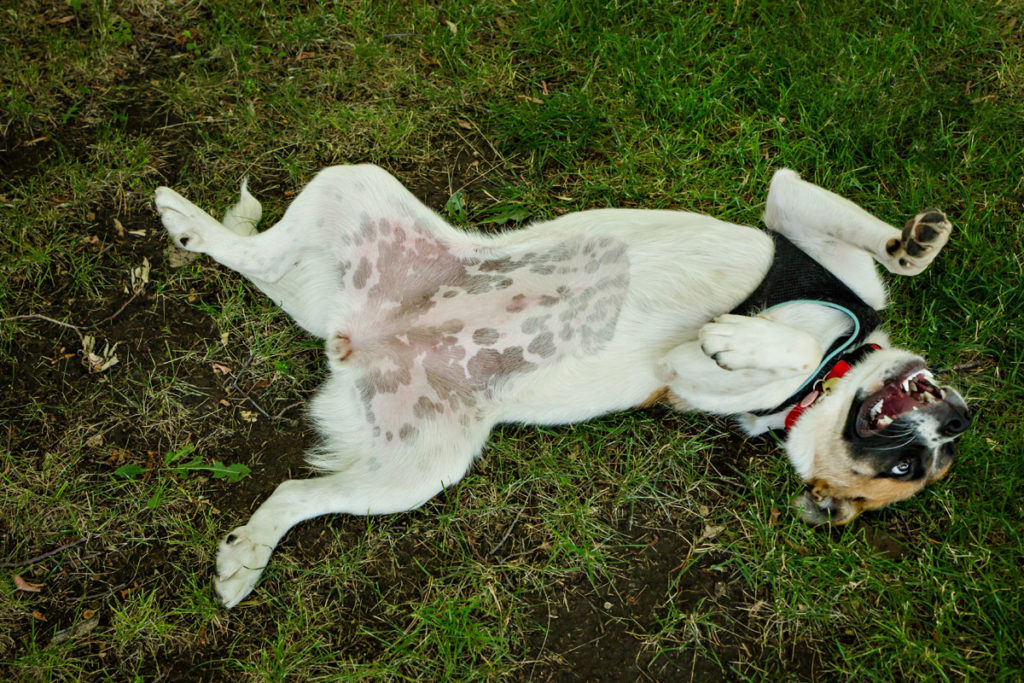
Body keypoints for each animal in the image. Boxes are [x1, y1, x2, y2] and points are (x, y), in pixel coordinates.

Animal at [155, 167, 970, 606]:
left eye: (912, 469)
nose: (956, 417)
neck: (838, 367)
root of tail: (354, 333)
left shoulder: (687, 371)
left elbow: (760, 351)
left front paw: (745, 340)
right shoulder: (793, 218)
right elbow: (866, 252)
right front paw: (914, 240)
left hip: (417, 472)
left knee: (296, 491)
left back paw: (245, 556)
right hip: (354, 184)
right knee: (254, 252)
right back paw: (191, 222)